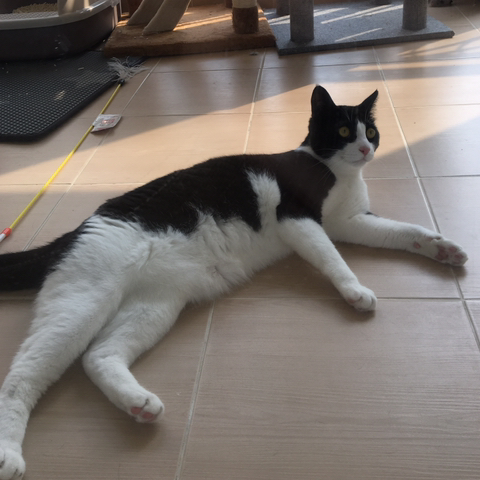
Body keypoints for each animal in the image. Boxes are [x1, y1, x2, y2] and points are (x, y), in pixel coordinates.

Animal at [0, 85, 468, 480]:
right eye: (342, 131)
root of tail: (74, 232)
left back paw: (139, 404)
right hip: (84, 302)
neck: (333, 169)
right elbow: (332, 259)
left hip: (155, 305)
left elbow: (402, 231)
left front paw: (443, 248)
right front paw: (355, 291)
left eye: (370, 129)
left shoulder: (349, 223)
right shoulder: (297, 218)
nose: (368, 148)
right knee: (21, 376)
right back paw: (10, 454)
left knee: (98, 355)